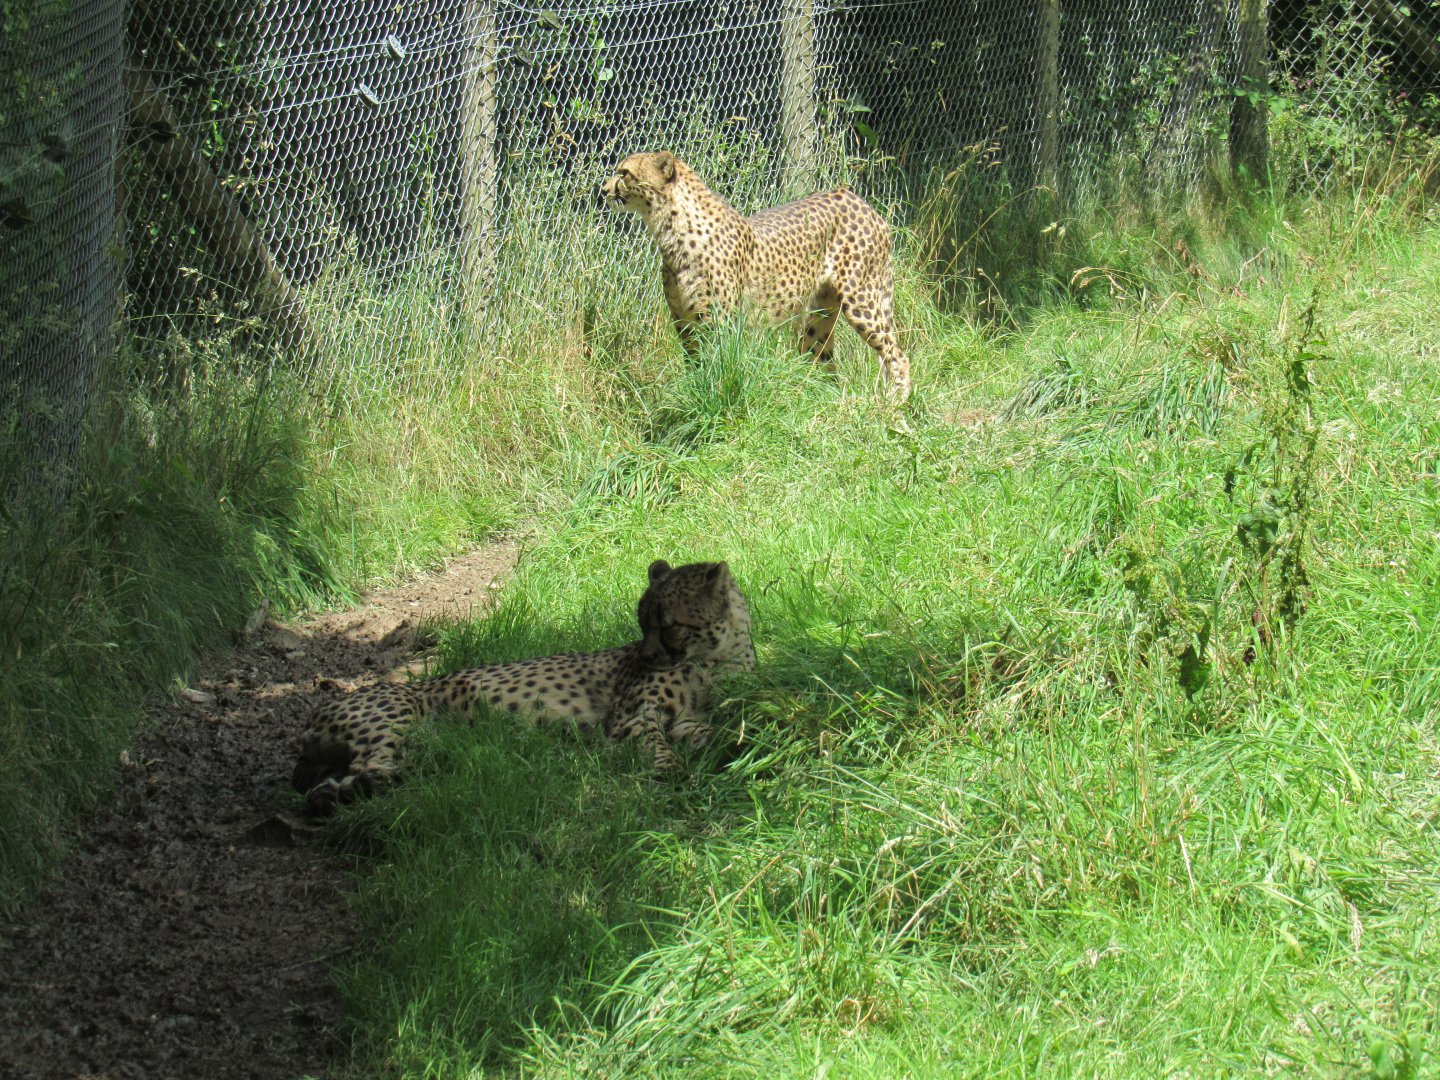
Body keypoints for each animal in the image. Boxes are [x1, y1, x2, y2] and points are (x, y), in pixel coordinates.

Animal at [291, 559, 755, 813]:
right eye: (643, 622)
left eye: (669, 624)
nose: (648, 655)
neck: (715, 657)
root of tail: (312, 720)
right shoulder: (633, 719)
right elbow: (659, 751)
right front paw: (673, 773)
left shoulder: (691, 719)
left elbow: (719, 733)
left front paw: (739, 751)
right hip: (401, 710)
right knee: (374, 768)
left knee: (337, 784)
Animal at [602, 150, 912, 399]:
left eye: (624, 173)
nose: (603, 190)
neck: (672, 227)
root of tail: (857, 199)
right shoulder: (684, 322)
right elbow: (695, 366)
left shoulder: (719, 323)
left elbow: (716, 368)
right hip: (818, 316)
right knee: (824, 362)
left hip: (861, 300)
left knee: (897, 354)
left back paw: (894, 405)